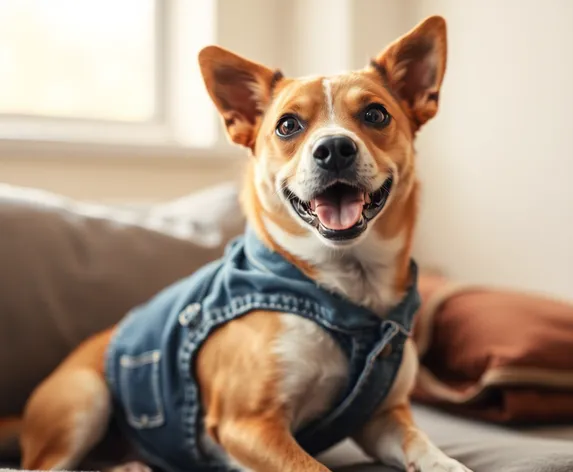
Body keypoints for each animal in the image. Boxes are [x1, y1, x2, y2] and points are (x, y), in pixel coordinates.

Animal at [2, 14, 472, 472]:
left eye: (375, 115)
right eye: (288, 125)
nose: (335, 148)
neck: (344, 287)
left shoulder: (382, 416)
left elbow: (425, 447)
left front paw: (449, 463)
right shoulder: (246, 425)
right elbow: (313, 468)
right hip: (85, 398)